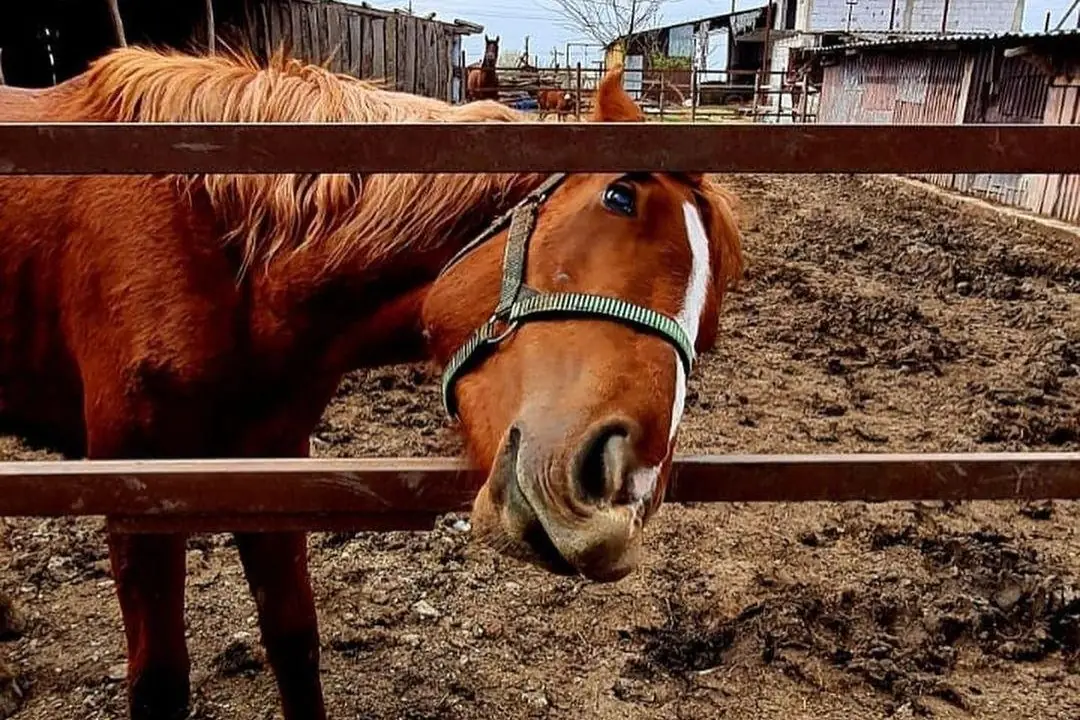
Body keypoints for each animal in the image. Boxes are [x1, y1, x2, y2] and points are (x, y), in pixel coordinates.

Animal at [0, 47, 743, 720]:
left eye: (706, 326)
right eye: (619, 196)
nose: (620, 490)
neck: (224, 244)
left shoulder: (266, 466)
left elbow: (293, 640)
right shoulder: (135, 495)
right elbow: (160, 685)